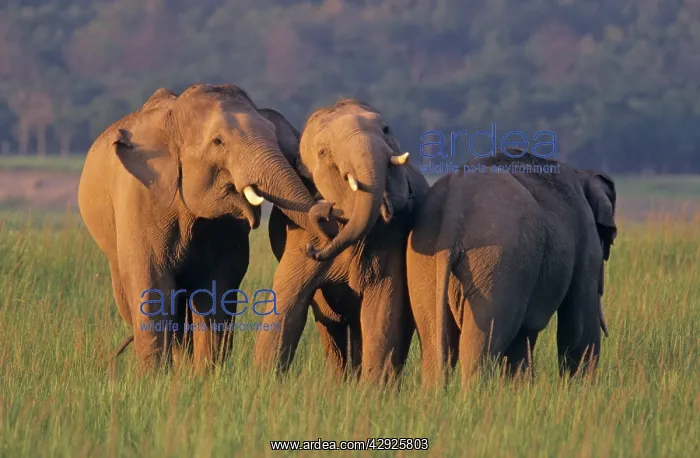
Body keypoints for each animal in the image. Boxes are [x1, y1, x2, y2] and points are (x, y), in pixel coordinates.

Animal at [79, 84, 340, 372]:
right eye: (218, 142)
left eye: (274, 136)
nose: (328, 209)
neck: (173, 120)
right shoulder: (141, 202)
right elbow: (152, 284)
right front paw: (153, 378)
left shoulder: (228, 230)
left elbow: (217, 289)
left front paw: (206, 376)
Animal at [252, 99, 430, 383]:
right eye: (324, 152)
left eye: (386, 129)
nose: (314, 249)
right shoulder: (300, 234)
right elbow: (287, 298)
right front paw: (263, 381)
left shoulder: (392, 234)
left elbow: (382, 306)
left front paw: (373, 389)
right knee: (331, 326)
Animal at [406, 151, 617, 387]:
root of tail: (453, 214)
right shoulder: (586, 240)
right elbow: (579, 322)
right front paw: (580, 388)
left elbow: (522, 341)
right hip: (498, 266)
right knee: (483, 343)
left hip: (424, 263)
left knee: (434, 345)